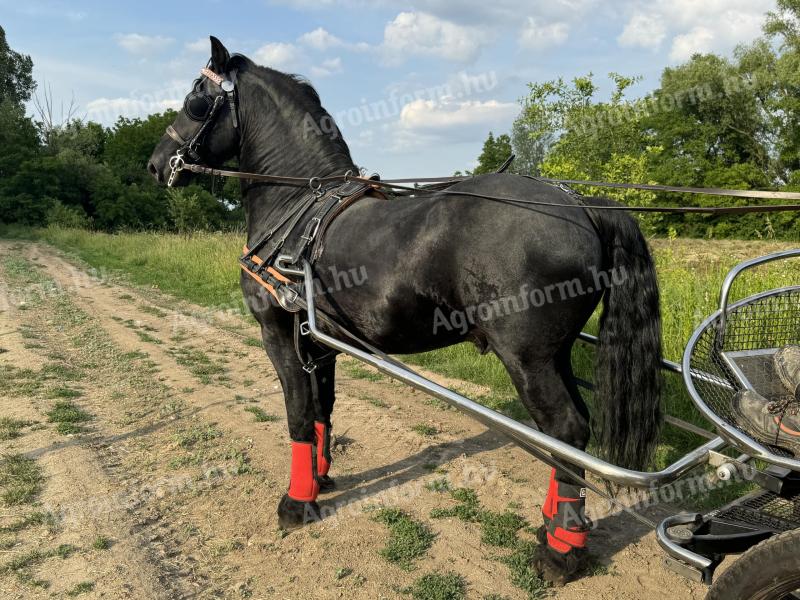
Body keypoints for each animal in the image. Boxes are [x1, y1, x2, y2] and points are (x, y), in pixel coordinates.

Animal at [150, 36, 664, 580]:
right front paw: (320, 478)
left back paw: (560, 550)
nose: (156, 164)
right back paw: (555, 524)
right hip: (557, 354)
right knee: (569, 436)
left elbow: (297, 413)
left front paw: (295, 503)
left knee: (566, 429)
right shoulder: (320, 339)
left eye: (195, 99)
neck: (295, 207)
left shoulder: (277, 331)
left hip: (529, 360)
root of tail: (580, 204)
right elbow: (322, 407)